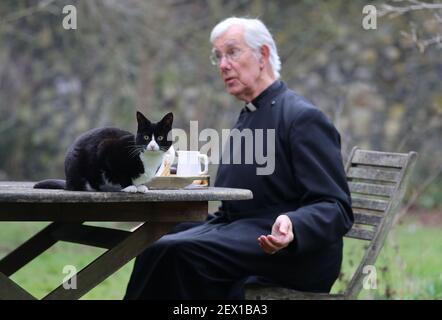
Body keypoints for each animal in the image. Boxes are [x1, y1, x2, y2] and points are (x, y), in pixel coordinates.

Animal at [33, 111, 174, 194]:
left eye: (160, 137)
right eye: (146, 137)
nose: (152, 146)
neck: (149, 159)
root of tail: (67, 181)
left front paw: (140, 186)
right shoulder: (107, 149)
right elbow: (121, 173)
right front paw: (129, 186)